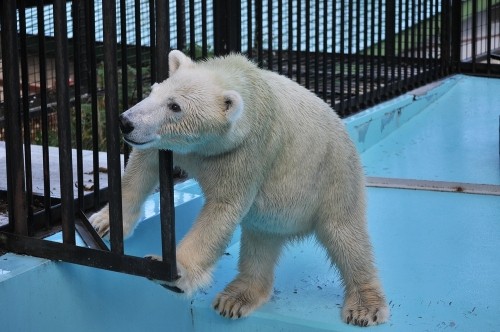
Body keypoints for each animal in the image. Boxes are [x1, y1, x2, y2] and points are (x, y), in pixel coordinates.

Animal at [90, 50, 388, 326]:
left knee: (346, 236)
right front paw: (104, 222)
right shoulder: (184, 148)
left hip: (334, 177)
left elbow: (222, 208)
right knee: (259, 245)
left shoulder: (245, 152)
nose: (126, 122)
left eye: (175, 106)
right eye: (154, 91)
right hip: (274, 215)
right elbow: (142, 167)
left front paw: (174, 273)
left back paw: (365, 307)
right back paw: (235, 298)